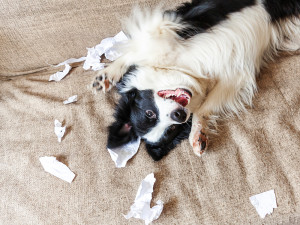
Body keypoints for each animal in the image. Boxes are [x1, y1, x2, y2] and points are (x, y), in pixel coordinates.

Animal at [92, 0, 298, 162]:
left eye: (149, 113)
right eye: (171, 130)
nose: (179, 115)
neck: (184, 70)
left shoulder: (172, 26)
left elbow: (139, 50)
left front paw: (106, 75)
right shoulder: (232, 79)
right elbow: (204, 108)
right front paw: (198, 135)